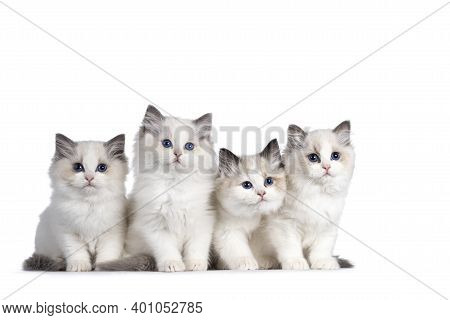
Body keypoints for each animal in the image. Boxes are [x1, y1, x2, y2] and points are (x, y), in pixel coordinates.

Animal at [24, 134, 127, 272]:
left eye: (102, 168)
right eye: (78, 167)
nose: (89, 177)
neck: (89, 204)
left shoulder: (112, 233)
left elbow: (107, 254)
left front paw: (105, 266)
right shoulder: (68, 233)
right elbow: (77, 253)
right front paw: (79, 267)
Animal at [124, 105, 215, 272]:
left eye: (189, 146)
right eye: (167, 143)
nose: (177, 154)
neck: (174, 185)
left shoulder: (202, 221)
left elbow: (196, 248)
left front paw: (195, 265)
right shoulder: (156, 225)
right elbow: (167, 250)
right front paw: (173, 265)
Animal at [214, 140, 284, 270]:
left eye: (268, 181)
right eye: (247, 185)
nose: (261, 193)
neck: (254, 217)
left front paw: (265, 262)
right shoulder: (229, 231)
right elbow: (239, 251)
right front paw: (248, 264)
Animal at [268, 122, 356, 270]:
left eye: (335, 156)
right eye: (313, 158)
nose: (326, 167)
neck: (317, 193)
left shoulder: (327, 224)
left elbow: (321, 249)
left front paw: (323, 263)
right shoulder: (286, 224)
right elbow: (291, 247)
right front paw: (296, 263)